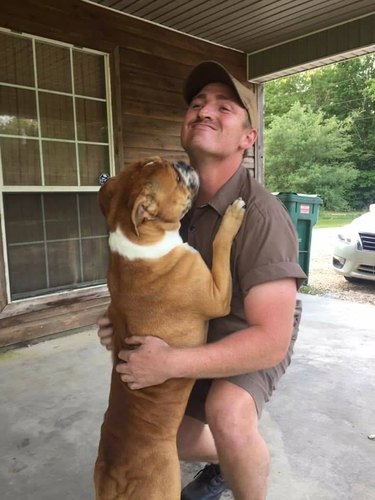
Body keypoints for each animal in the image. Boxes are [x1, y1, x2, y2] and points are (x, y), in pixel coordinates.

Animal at [95, 157, 245, 500]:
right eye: (175, 177)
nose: (182, 161)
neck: (137, 238)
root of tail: (114, 476)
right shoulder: (218, 293)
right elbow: (220, 243)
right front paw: (232, 217)